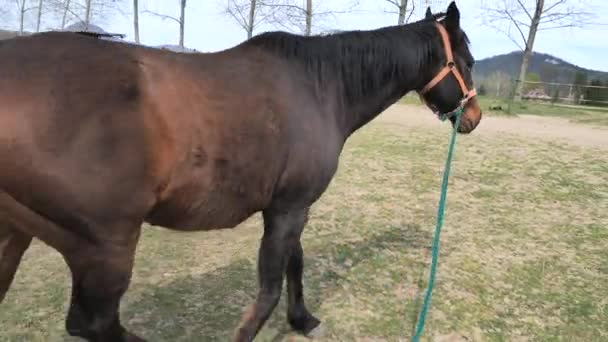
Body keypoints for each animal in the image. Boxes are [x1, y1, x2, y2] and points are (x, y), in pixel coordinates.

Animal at [0, 2, 482, 342]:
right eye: (470, 60)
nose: (474, 117)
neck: (320, 87)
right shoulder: (289, 209)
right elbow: (270, 286)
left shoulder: (291, 206)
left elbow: (294, 264)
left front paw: (303, 319)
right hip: (104, 246)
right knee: (94, 323)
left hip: (18, 235)